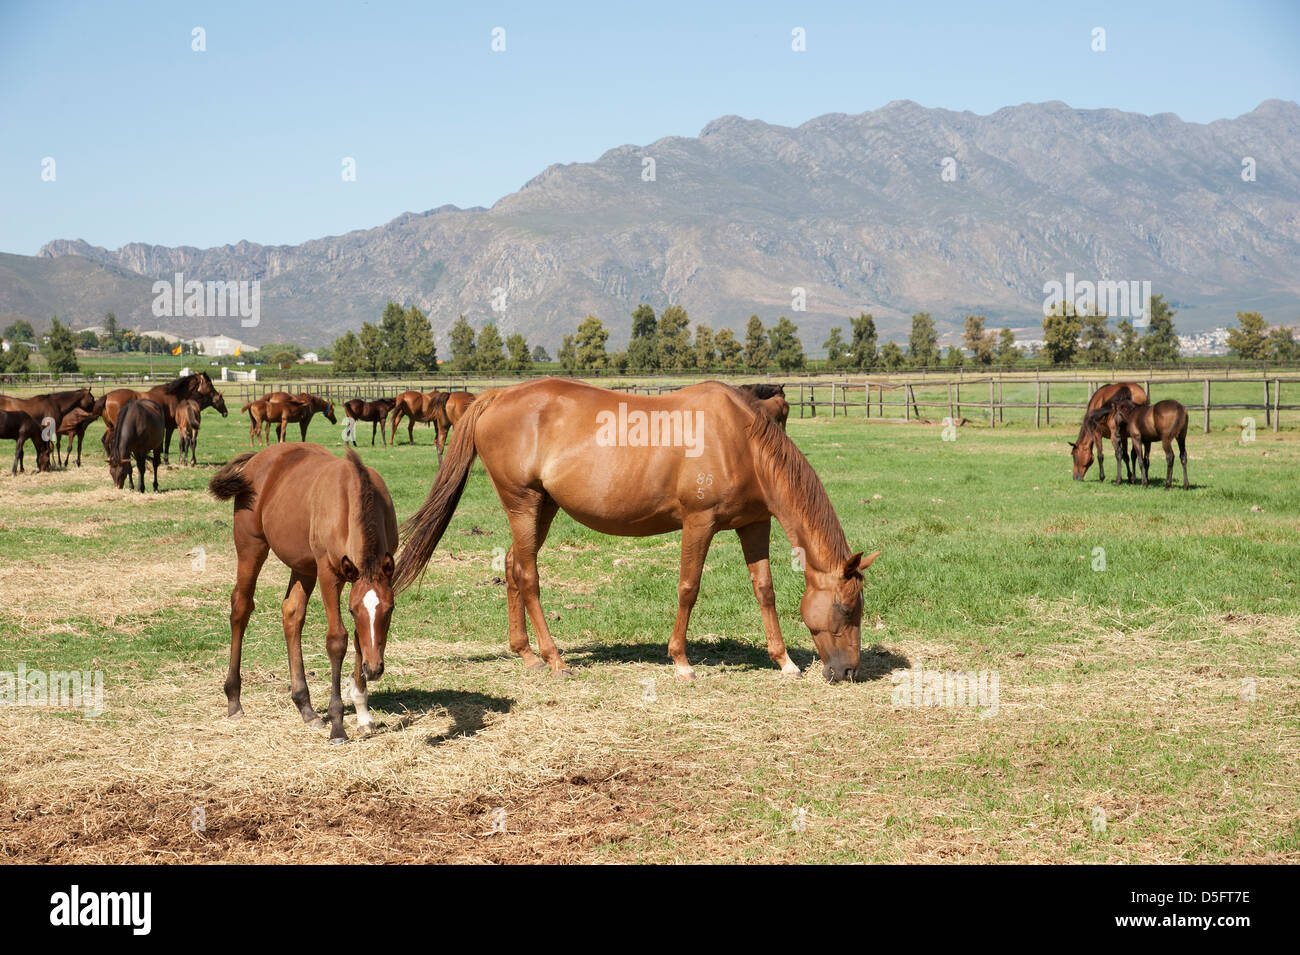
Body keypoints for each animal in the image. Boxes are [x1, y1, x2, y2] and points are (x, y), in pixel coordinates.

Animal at [208, 444, 397, 743]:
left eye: (390, 609)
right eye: (352, 610)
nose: (374, 668)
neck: (354, 493)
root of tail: (257, 459)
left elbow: (359, 639)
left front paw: (364, 715)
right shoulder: (329, 573)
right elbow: (337, 639)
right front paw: (338, 725)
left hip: (303, 565)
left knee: (292, 613)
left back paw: (305, 707)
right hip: (252, 548)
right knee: (241, 607)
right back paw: (234, 700)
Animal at [395, 376, 878, 686]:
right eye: (846, 608)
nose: (848, 672)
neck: (740, 440)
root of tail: (495, 397)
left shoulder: (754, 524)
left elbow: (765, 589)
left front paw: (784, 662)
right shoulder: (699, 523)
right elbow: (688, 588)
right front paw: (681, 661)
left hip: (542, 509)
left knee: (514, 565)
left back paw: (526, 654)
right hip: (523, 503)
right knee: (528, 574)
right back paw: (555, 659)